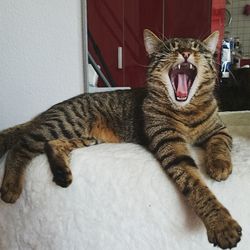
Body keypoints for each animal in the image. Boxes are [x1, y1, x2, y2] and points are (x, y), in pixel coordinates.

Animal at [0, 28, 242, 248]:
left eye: (196, 48)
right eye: (170, 49)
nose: (185, 52)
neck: (186, 110)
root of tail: (45, 112)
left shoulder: (219, 130)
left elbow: (219, 145)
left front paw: (219, 166)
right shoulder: (170, 143)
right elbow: (195, 184)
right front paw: (221, 224)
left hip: (86, 138)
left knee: (51, 144)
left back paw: (61, 173)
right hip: (66, 125)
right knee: (21, 146)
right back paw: (11, 186)